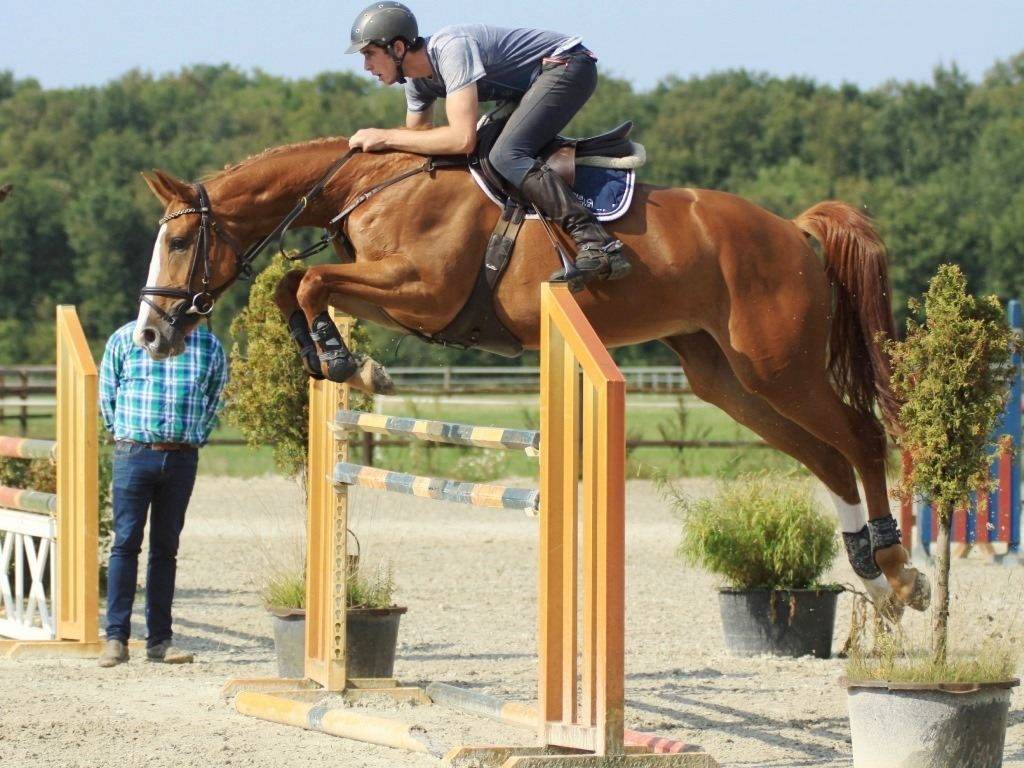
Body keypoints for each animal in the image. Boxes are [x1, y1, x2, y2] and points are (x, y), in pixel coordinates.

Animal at [134, 136, 930, 616]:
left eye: (180, 240)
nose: (150, 334)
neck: (374, 185)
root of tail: (792, 230)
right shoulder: (395, 291)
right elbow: (291, 286)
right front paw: (336, 358)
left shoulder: (421, 290)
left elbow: (308, 281)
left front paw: (348, 360)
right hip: (730, 379)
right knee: (826, 456)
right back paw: (870, 571)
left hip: (778, 364)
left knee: (861, 438)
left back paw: (897, 565)